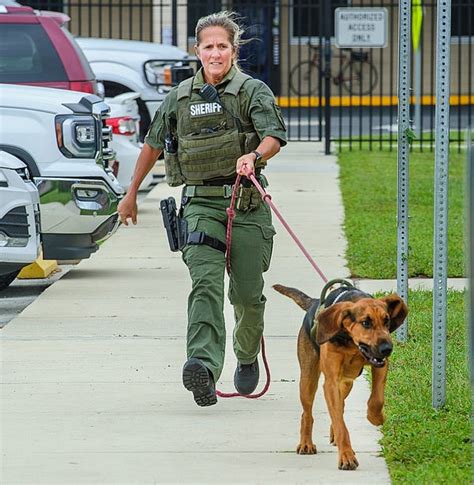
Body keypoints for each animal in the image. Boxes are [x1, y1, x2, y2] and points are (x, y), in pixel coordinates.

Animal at [274, 280, 408, 468]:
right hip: (308, 380)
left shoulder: (380, 365)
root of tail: (314, 302)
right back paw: (306, 443)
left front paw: (376, 417)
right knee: (307, 413)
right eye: (366, 323)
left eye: (386, 320)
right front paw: (346, 456)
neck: (352, 344)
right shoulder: (331, 383)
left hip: (347, 382)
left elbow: (376, 399)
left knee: (341, 405)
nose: (387, 349)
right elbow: (340, 424)